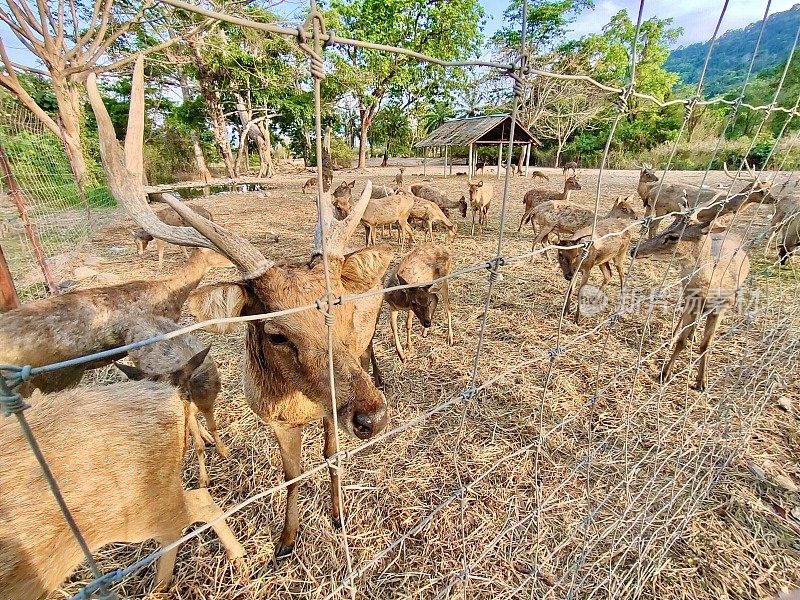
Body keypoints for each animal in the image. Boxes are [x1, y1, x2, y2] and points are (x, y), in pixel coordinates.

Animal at [112, 314, 227, 488]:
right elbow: (198, 444)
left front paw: (222, 450)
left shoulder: (207, 400)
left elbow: (212, 426)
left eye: (185, 395)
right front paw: (203, 480)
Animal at [632, 218, 752, 392]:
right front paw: (664, 373)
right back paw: (676, 335)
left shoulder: (722, 308)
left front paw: (702, 382)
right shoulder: (690, 301)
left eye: (674, 237)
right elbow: (681, 342)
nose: (634, 250)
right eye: (665, 229)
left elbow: (706, 345)